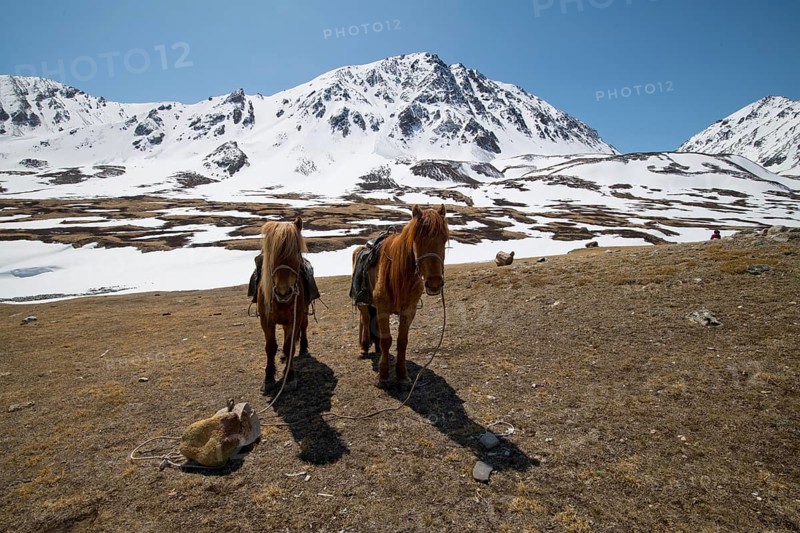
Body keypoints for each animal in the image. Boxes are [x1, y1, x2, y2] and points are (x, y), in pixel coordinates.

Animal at [257, 217, 310, 394]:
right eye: (272, 253)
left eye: (297, 252)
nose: (283, 291)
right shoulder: (266, 320)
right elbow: (270, 347)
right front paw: (268, 378)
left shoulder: (295, 318)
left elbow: (289, 346)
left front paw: (290, 376)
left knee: (303, 329)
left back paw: (303, 349)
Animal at [353, 204, 449, 386]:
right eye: (418, 239)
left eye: (445, 239)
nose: (434, 283)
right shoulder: (383, 310)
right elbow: (387, 340)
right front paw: (383, 376)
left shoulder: (409, 311)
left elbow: (402, 341)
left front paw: (402, 376)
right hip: (363, 303)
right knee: (365, 319)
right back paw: (364, 348)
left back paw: (375, 348)